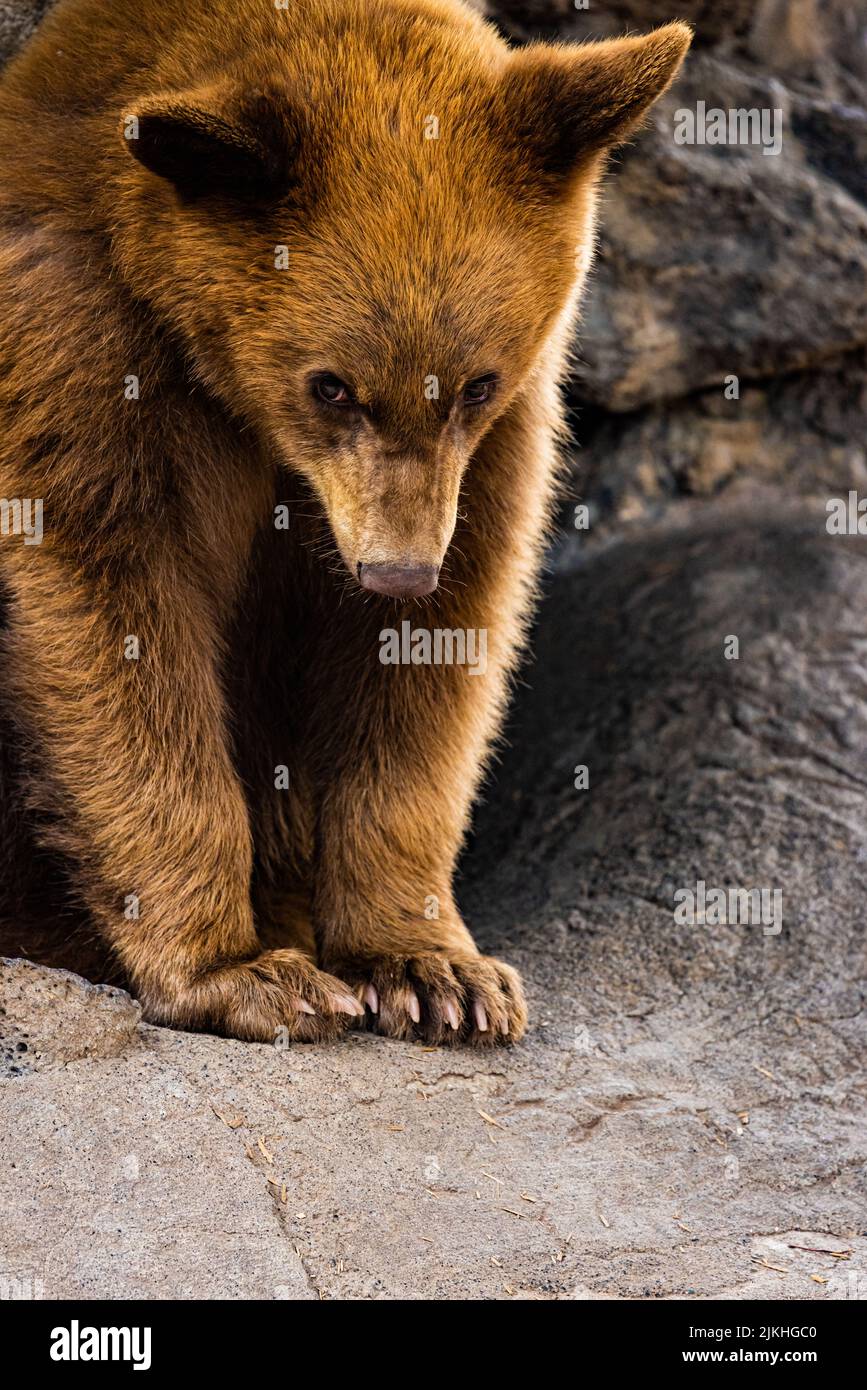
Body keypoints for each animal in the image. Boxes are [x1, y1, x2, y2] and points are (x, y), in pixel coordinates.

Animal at [0, 0, 690, 1045]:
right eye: (329, 385)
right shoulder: (74, 335)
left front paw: (436, 970)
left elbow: (435, 650)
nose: (396, 570)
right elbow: (112, 605)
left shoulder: (494, 445)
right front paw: (242, 970)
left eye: (474, 383)